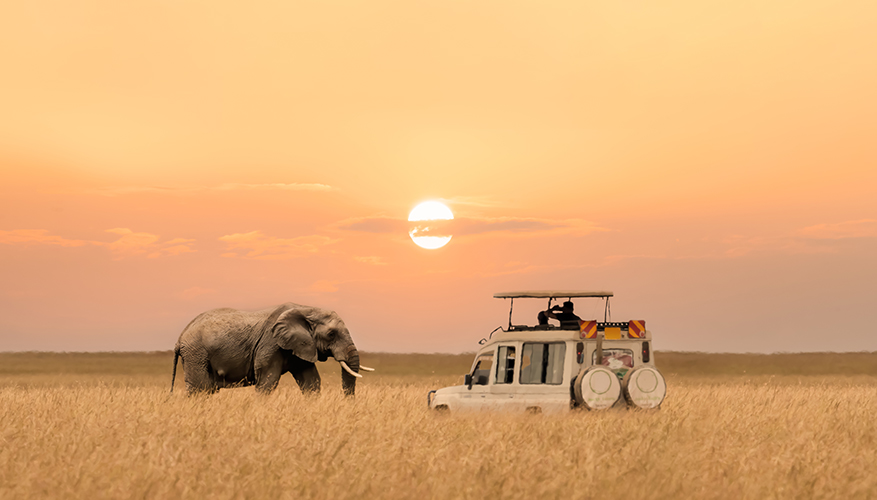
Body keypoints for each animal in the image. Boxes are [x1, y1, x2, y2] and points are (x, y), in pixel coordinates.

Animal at [170, 303, 372, 396]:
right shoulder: (270, 344)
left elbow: (311, 381)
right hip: (196, 353)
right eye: (331, 334)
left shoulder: (300, 346)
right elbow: (268, 381)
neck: (305, 309)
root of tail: (180, 337)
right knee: (200, 389)